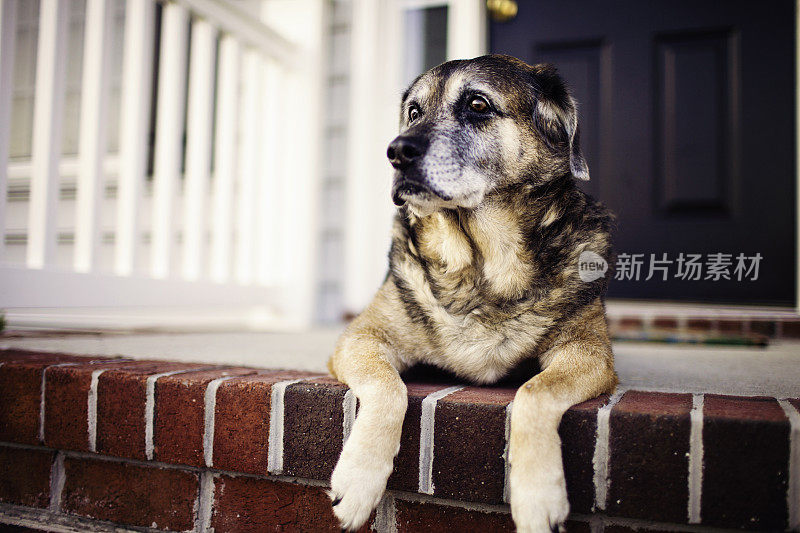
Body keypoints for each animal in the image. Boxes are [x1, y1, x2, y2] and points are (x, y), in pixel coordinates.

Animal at [328, 55, 616, 532]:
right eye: (413, 112)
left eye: (478, 104)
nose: (396, 151)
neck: (480, 266)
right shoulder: (360, 338)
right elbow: (388, 386)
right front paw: (358, 478)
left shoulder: (588, 351)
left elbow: (535, 392)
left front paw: (538, 494)